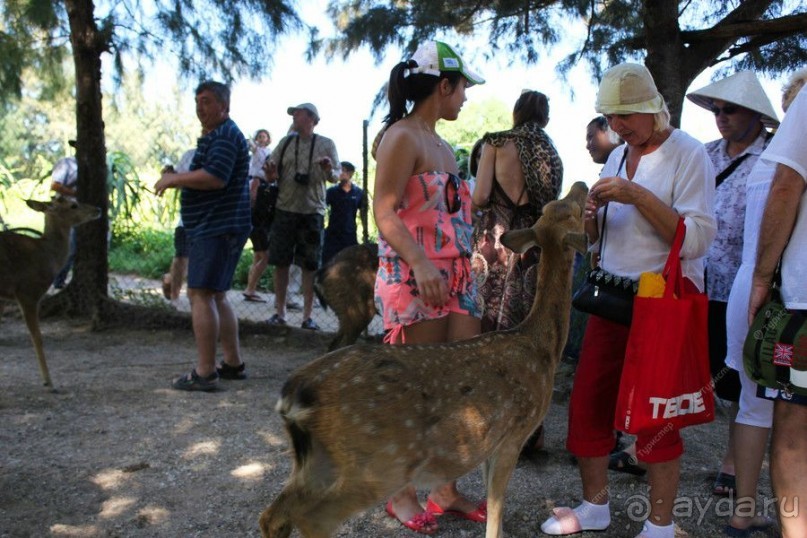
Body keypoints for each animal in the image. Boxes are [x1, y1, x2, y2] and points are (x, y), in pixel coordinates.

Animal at [0, 197, 101, 386]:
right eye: (73, 205)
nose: (97, 209)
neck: (46, 255)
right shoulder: (28, 292)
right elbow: (37, 337)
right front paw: (49, 382)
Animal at [262, 181, 592, 536]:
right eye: (572, 210)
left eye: (551, 208)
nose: (581, 184)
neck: (541, 347)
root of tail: (293, 396)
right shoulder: (514, 432)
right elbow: (496, 510)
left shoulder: (491, 442)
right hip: (380, 461)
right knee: (311, 516)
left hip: (319, 459)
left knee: (274, 514)